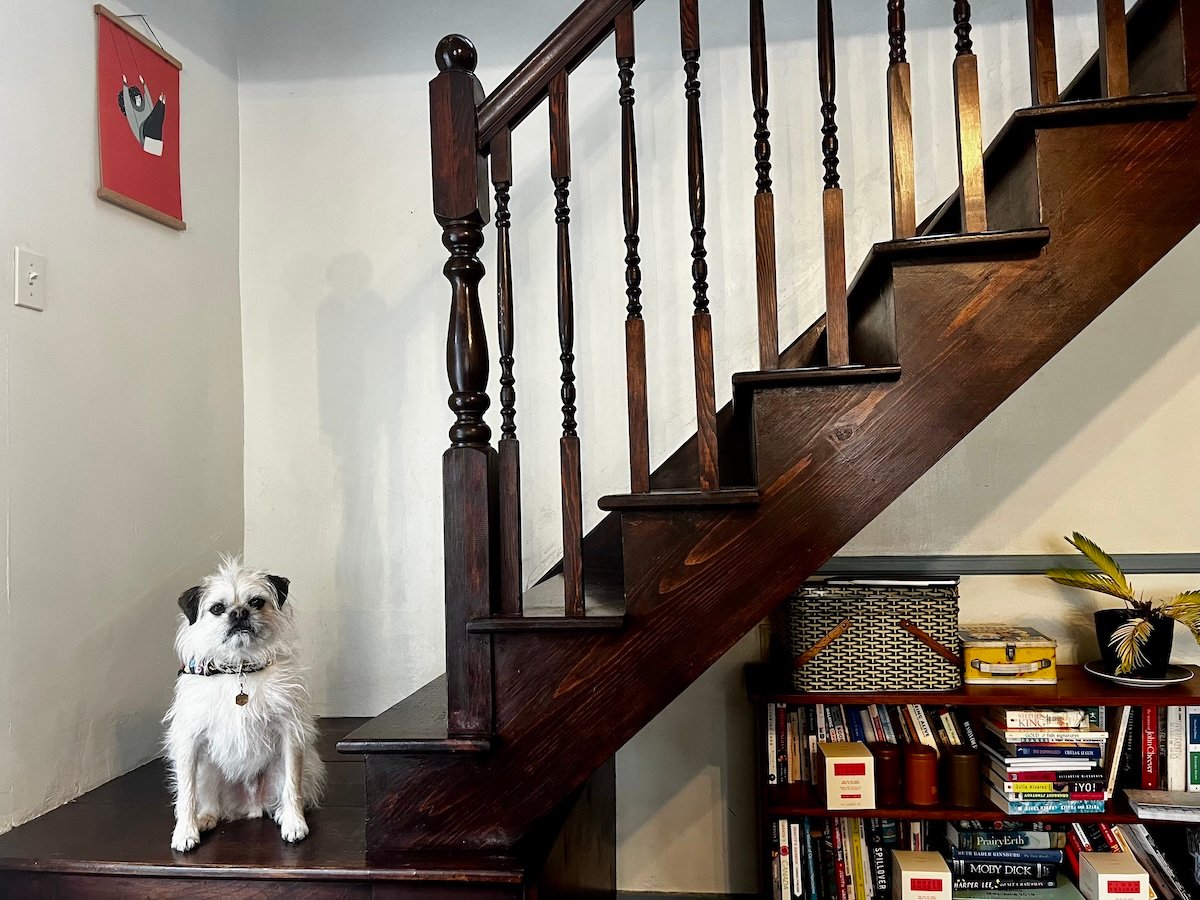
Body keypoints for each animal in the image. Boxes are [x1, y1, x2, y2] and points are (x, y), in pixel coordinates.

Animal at [165, 556, 324, 854]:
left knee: (284, 791)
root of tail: (251, 807)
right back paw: (205, 818)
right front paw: (185, 832)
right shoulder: (189, 741)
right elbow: (187, 793)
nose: (239, 613)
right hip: (208, 772)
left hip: (286, 769)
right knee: (209, 802)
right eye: (217, 608)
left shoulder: (290, 733)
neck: (240, 668)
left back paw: (281, 812)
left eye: (257, 602)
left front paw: (295, 823)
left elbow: (292, 786)